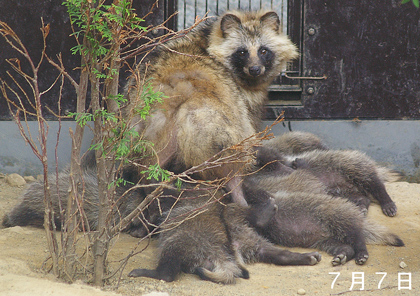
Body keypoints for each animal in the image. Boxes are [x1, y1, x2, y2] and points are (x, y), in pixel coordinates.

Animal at [121, 10, 298, 207]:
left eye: (263, 50)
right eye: (242, 52)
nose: (254, 69)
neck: (207, 39)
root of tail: (175, 86)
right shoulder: (238, 95)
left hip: (145, 123)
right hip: (210, 118)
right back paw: (236, 188)